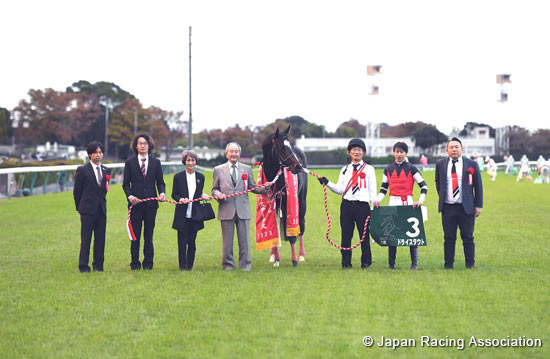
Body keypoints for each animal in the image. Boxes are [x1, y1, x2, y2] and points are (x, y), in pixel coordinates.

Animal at [260, 126, 308, 268]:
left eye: (290, 145)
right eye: (280, 147)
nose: (298, 166)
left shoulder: (288, 204)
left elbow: (292, 234)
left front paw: (294, 259)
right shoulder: (272, 204)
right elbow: (274, 230)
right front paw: (276, 259)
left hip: (301, 202)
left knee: (301, 225)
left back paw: (301, 255)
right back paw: (272, 255)